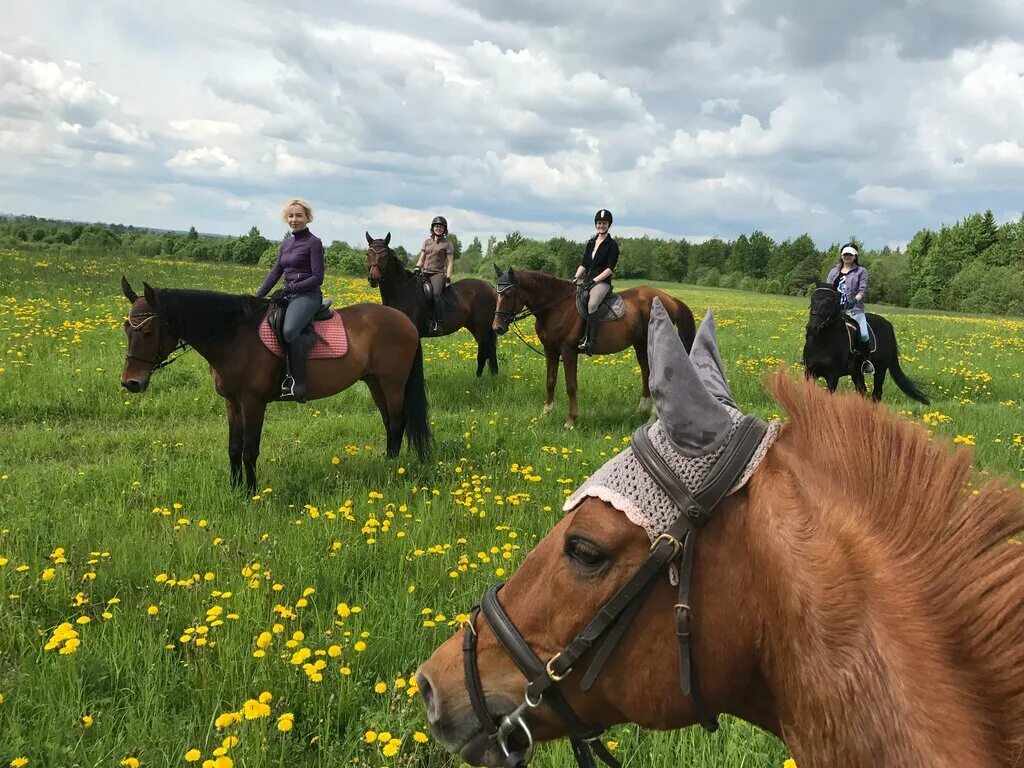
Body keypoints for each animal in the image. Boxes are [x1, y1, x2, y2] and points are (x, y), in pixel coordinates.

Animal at [118, 276, 432, 493]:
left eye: (148, 331)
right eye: (125, 328)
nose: (130, 382)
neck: (234, 337)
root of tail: (405, 321)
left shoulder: (253, 403)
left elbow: (249, 450)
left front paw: (251, 494)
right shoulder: (232, 403)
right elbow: (234, 448)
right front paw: (235, 489)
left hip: (392, 384)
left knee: (397, 422)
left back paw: (391, 470)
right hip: (374, 382)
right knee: (389, 422)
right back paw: (387, 463)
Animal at [364, 234, 499, 378]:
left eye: (385, 255)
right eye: (368, 254)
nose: (374, 278)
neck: (402, 291)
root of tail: (491, 287)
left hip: (481, 327)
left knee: (483, 352)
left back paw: (478, 379)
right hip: (474, 326)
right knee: (490, 350)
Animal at [491, 268, 700, 430]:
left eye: (508, 294)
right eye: (497, 293)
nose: (497, 327)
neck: (556, 307)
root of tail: (669, 298)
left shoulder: (568, 351)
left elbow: (571, 385)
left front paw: (571, 421)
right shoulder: (550, 350)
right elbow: (550, 381)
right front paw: (546, 413)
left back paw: (653, 417)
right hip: (641, 344)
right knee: (646, 372)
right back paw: (641, 410)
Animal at [798, 280, 929, 403]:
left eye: (831, 301)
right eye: (812, 299)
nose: (812, 328)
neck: (821, 343)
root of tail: (888, 324)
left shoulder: (832, 376)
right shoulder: (809, 372)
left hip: (880, 370)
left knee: (876, 394)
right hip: (857, 372)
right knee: (863, 391)